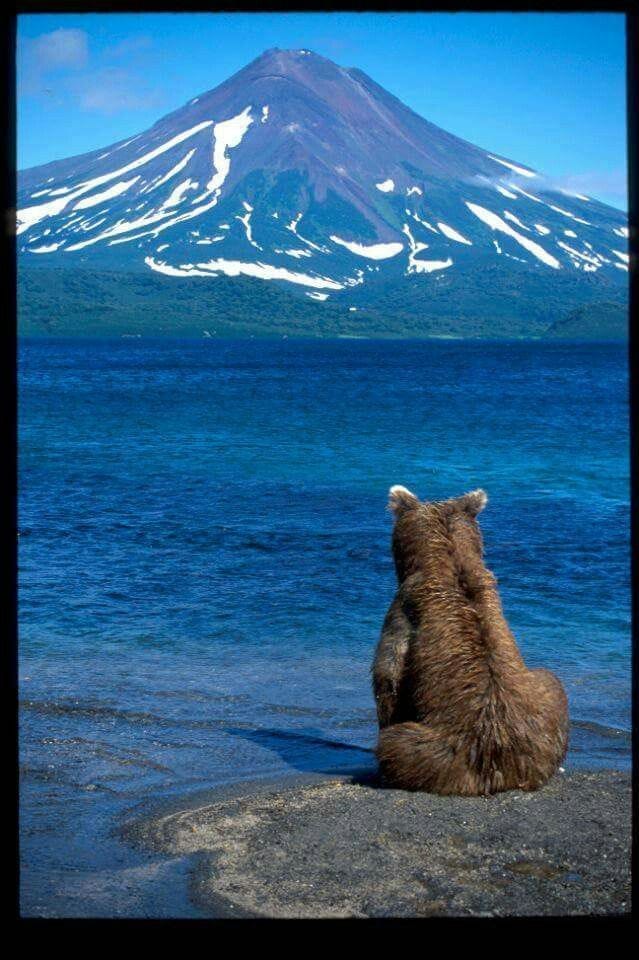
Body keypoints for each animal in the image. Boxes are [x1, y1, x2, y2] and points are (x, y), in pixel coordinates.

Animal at [372, 485, 569, 796]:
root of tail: (501, 771)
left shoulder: (402, 613)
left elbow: (388, 678)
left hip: (439, 750)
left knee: (397, 743)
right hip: (543, 714)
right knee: (553, 681)